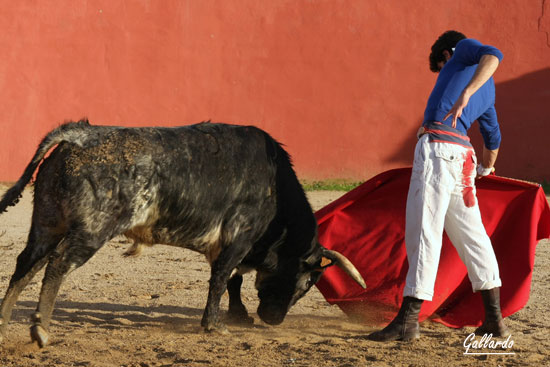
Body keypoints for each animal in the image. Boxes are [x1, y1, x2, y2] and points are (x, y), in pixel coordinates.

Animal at [0, 121, 366, 348]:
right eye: (306, 284)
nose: (273, 320)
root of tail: (79, 135)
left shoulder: (227, 244)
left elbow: (231, 279)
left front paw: (238, 316)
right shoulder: (239, 236)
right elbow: (222, 278)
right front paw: (215, 325)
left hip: (47, 224)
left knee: (25, 266)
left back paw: (4, 324)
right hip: (92, 229)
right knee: (58, 264)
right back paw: (41, 330)